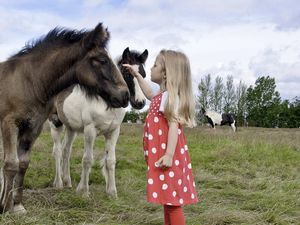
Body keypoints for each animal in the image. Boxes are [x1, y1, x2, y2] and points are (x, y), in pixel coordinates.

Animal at [0, 23, 128, 214]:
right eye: (102, 60)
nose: (125, 95)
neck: (29, 82)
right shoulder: (9, 124)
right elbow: (11, 164)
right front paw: (6, 207)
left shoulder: (33, 129)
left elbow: (23, 164)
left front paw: (17, 205)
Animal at [47, 47, 148, 197]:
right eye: (127, 74)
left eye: (144, 74)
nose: (140, 103)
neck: (107, 103)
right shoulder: (90, 130)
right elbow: (87, 159)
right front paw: (83, 190)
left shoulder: (113, 132)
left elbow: (110, 161)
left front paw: (112, 192)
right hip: (55, 124)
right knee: (58, 151)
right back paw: (58, 183)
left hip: (71, 128)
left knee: (66, 150)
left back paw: (67, 182)